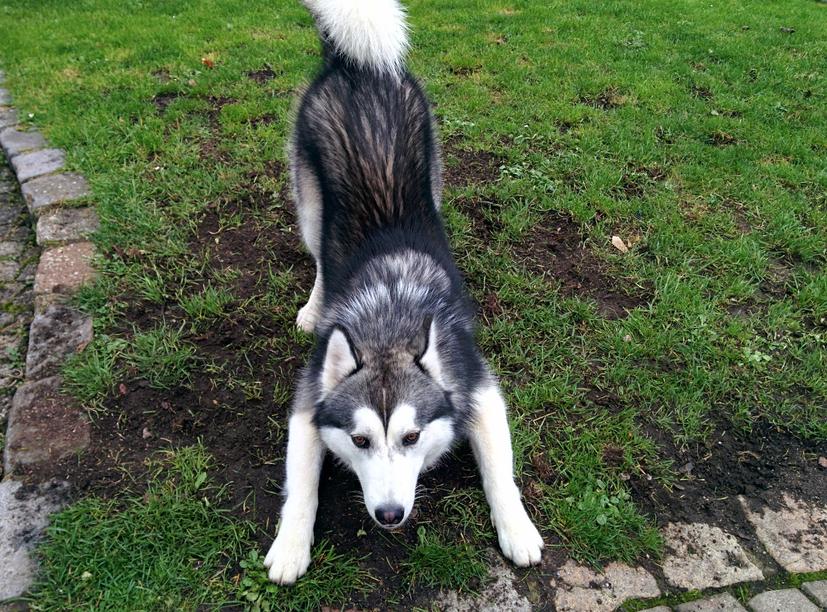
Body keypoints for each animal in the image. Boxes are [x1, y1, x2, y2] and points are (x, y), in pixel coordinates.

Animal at [266, 0, 548, 584]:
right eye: (360, 441)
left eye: (411, 438)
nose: (390, 514)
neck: (389, 324)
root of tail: (357, 67)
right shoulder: (309, 402)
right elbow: (300, 486)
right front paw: (290, 545)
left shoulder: (478, 388)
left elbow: (501, 472)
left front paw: (517, 527)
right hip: (308, 203)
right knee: (319, 254)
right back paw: (313, 304)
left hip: (434, 171)